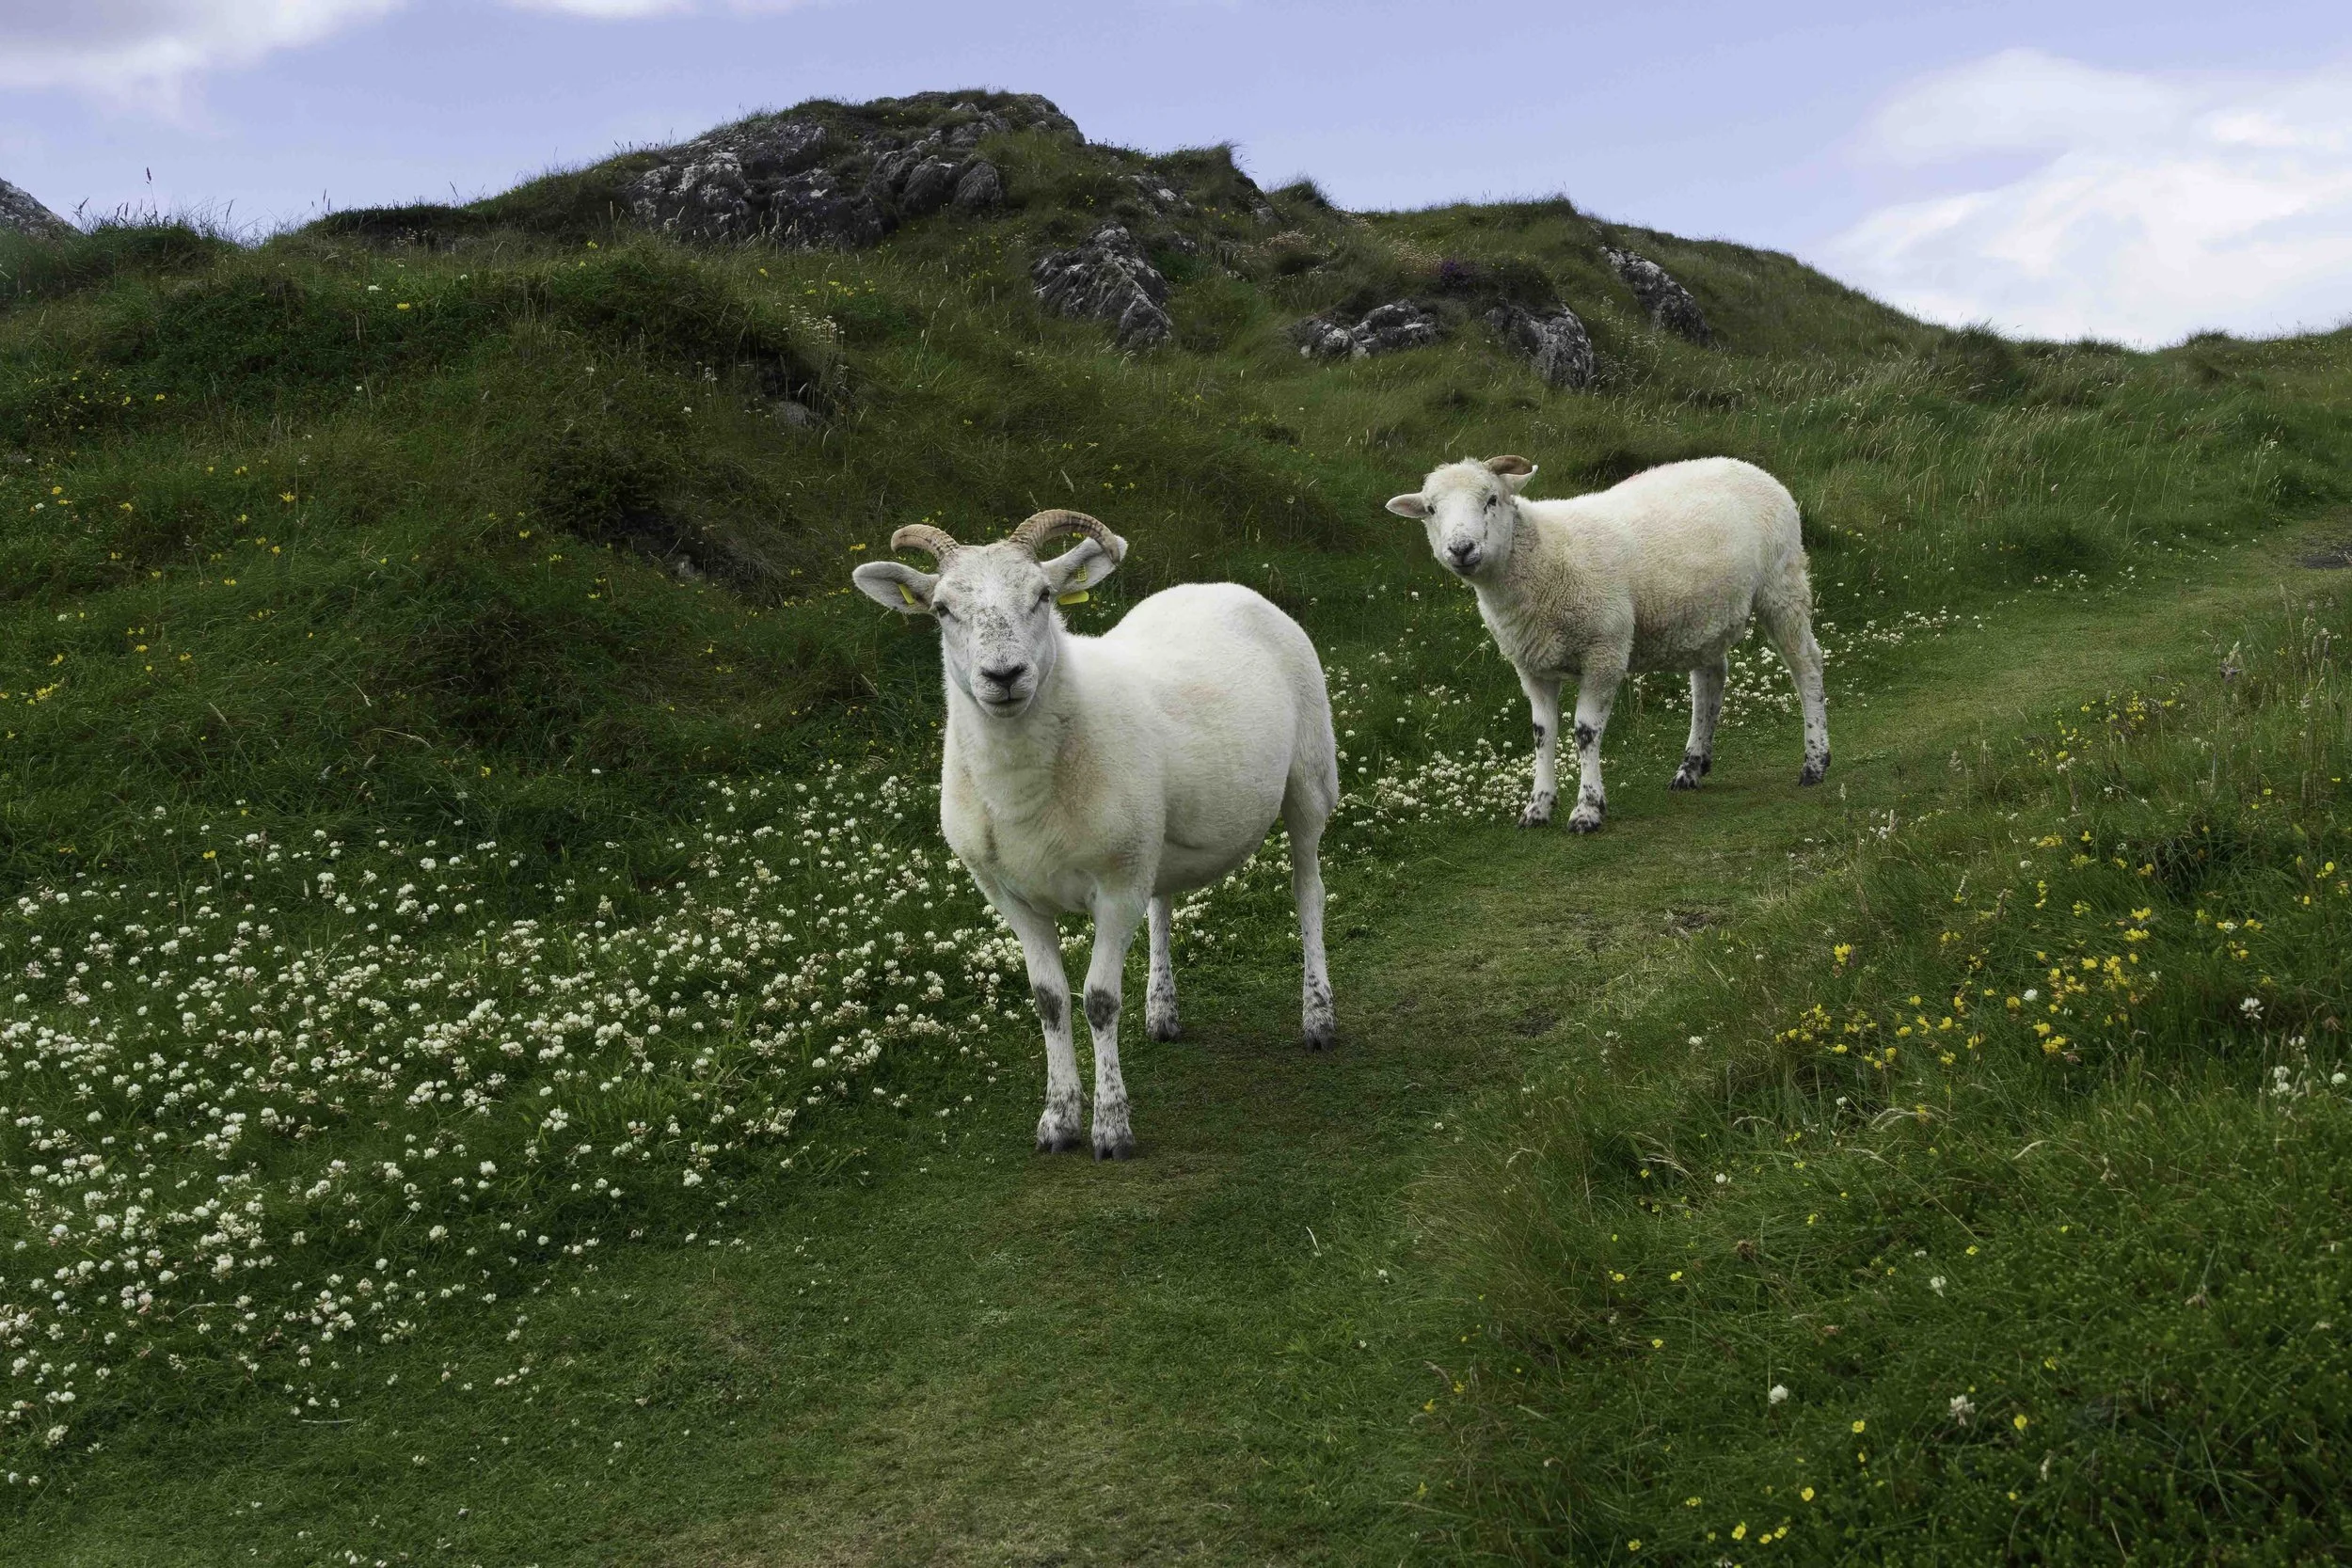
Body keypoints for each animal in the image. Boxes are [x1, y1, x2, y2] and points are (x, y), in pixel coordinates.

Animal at [852, 509, 1340, 1159]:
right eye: (942, 609)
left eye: (1042, 595)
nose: (1004, 676)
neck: (1022, 791)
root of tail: (1222, 586)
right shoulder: (1014, 898)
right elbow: (1050, 1002)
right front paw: (1058, 1119)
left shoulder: (1115, 887)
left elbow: (1099, 1002)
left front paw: (1111, 1127)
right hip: (1153, 837)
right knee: (1164, 903)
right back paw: (1163, 1012)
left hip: (1308, 779)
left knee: (1307, 891)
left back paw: (1318, 1017)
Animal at [1385, 455, 1827, 832]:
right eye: (1431, 509)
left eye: (1491, 499)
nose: (1461, 549)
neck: (1542, 558)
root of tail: (1751, 468)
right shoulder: (1531, 666)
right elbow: (1542, 732)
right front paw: (1538, 807)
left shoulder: (1605, 652)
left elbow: (1585, 732)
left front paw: (1588, 809)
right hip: (1702, 614)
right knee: (1710, 680)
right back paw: (1691, 766)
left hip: (1781, 585)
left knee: (1806, 666)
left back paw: (1815, 762)